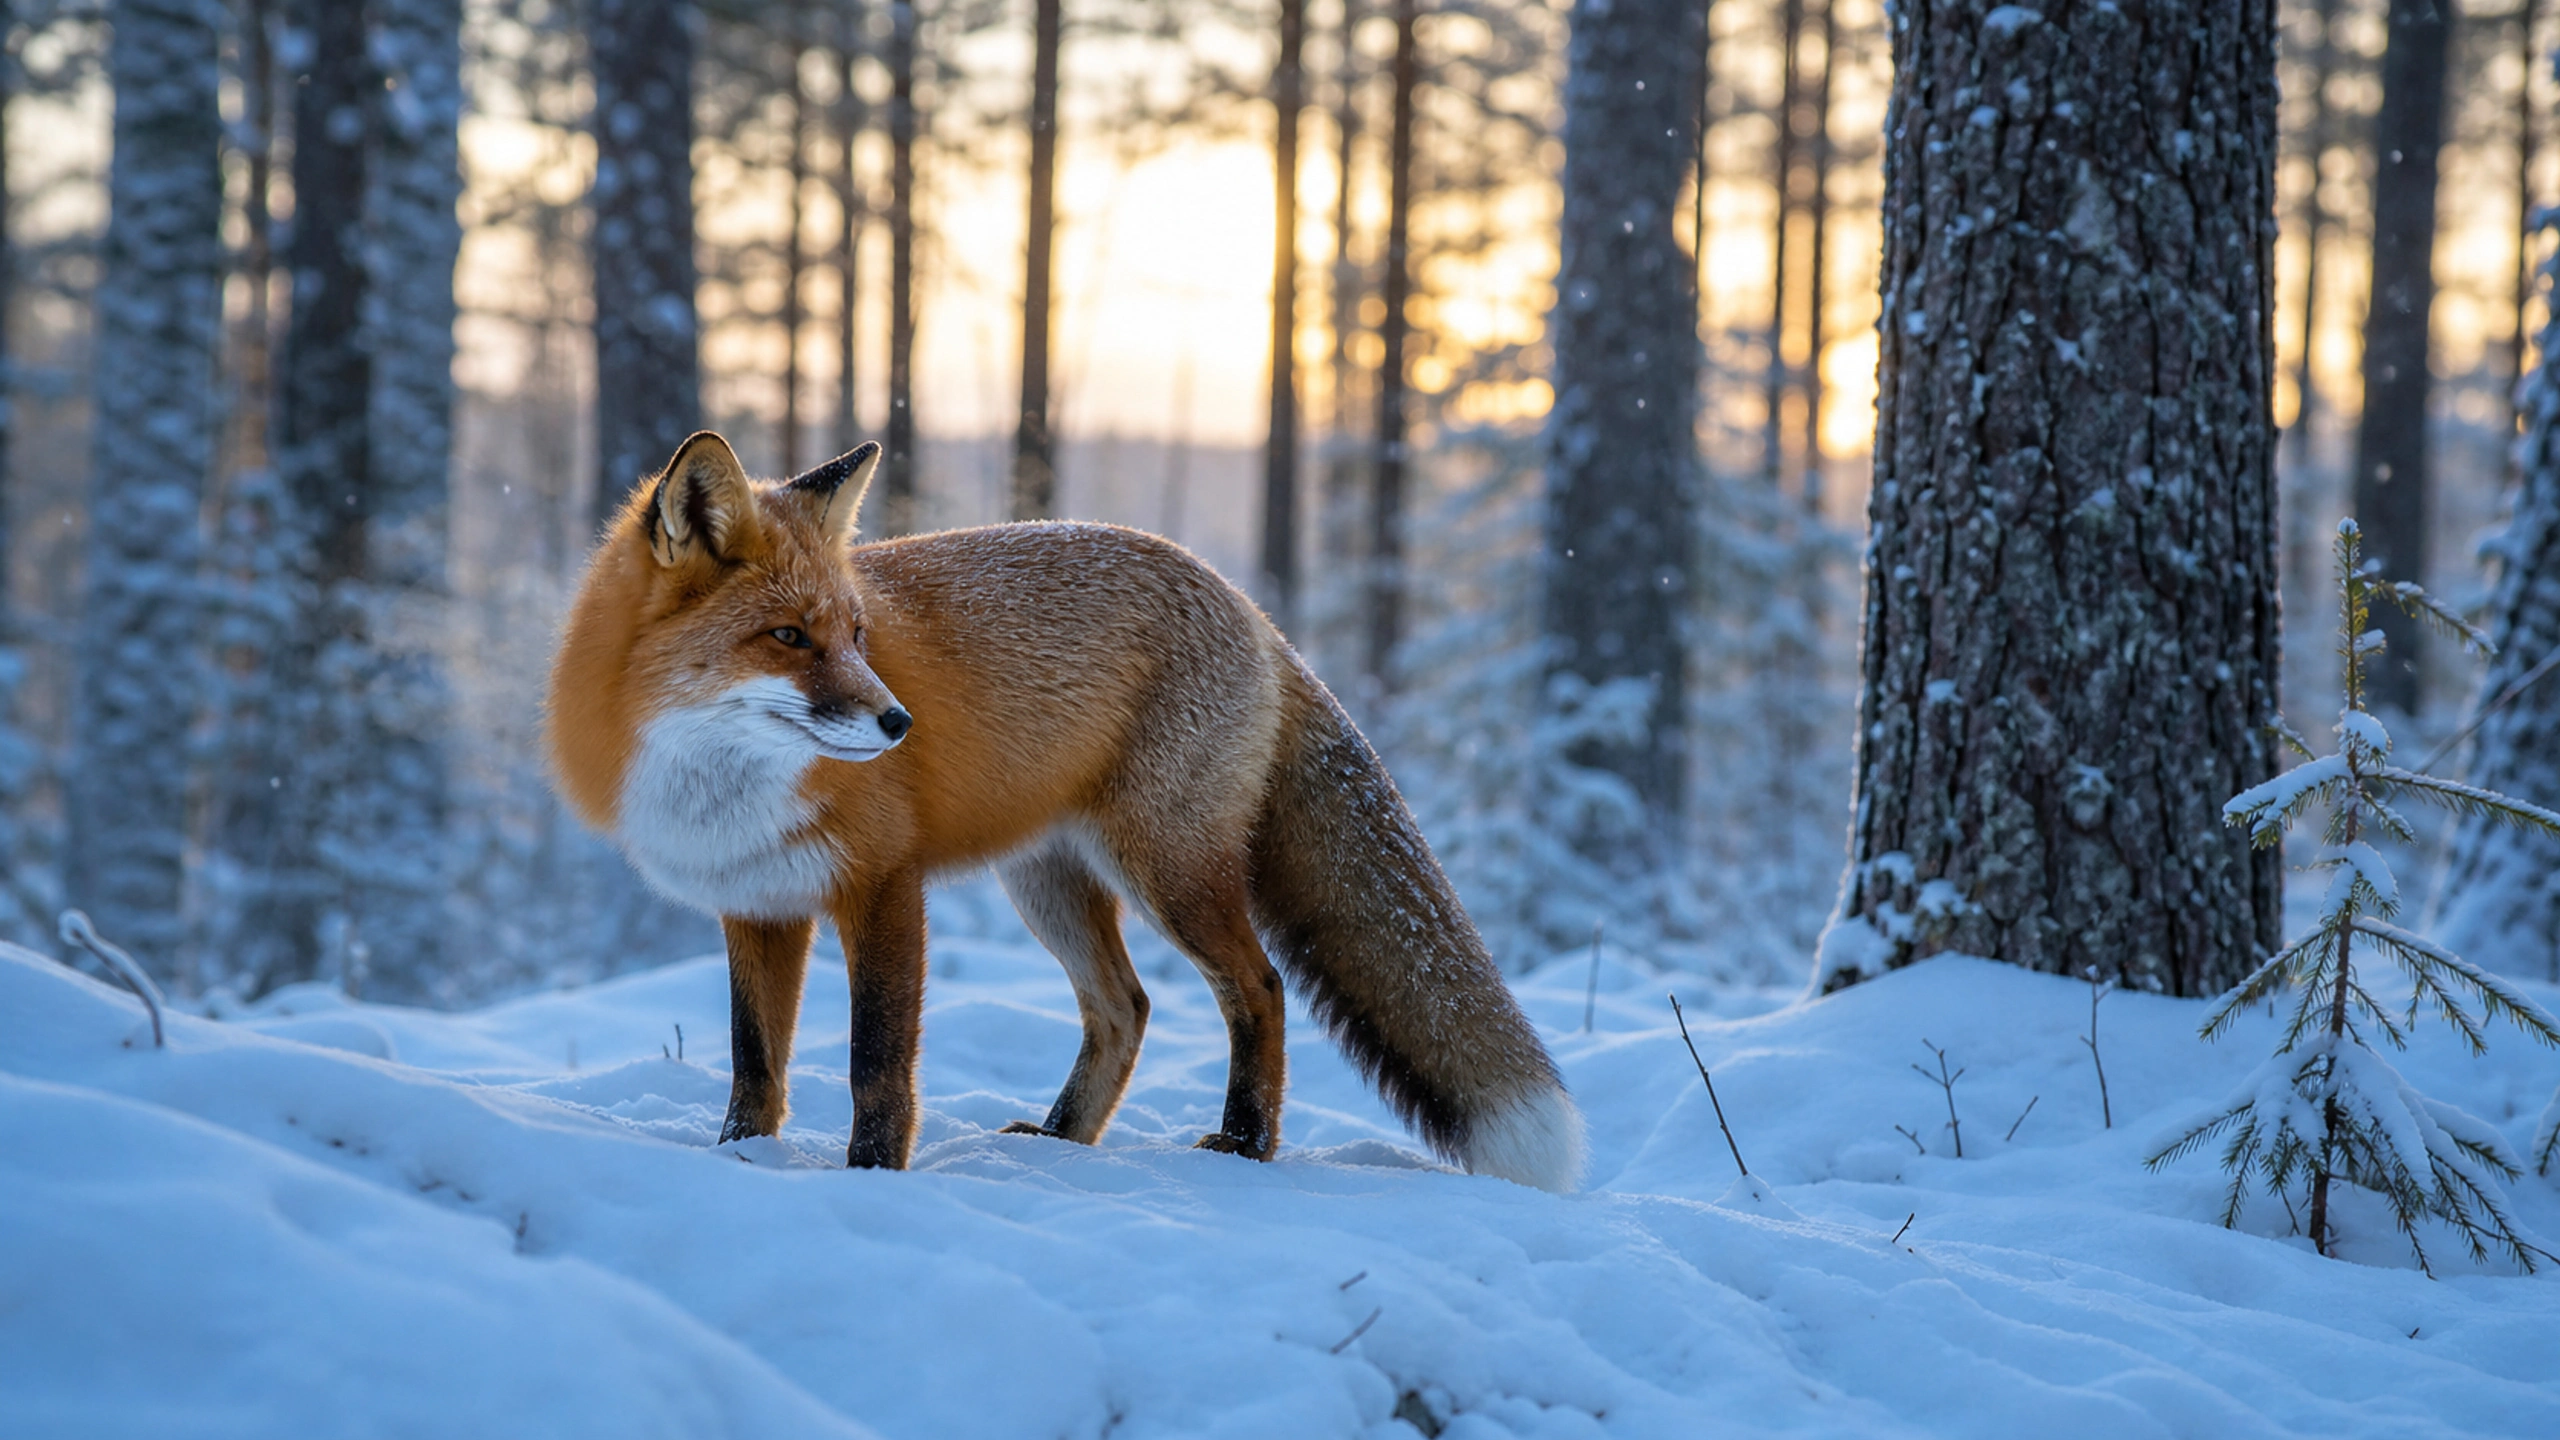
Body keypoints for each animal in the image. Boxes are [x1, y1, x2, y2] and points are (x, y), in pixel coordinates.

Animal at [545, 431, 1583, 1190]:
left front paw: (871, 1180)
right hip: (1045, 883)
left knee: (1258, 987)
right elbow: (752, 1064)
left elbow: (876, 1065)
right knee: (1125, 1008)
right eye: (789, 638)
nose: (899, 724)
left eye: (857, 635)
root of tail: (1252, 611)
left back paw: (1245, 1145)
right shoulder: (757, 905)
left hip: (1167, 870)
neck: (720, 780)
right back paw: (1059, 1140)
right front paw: (739, 1162)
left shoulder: (885, 886)